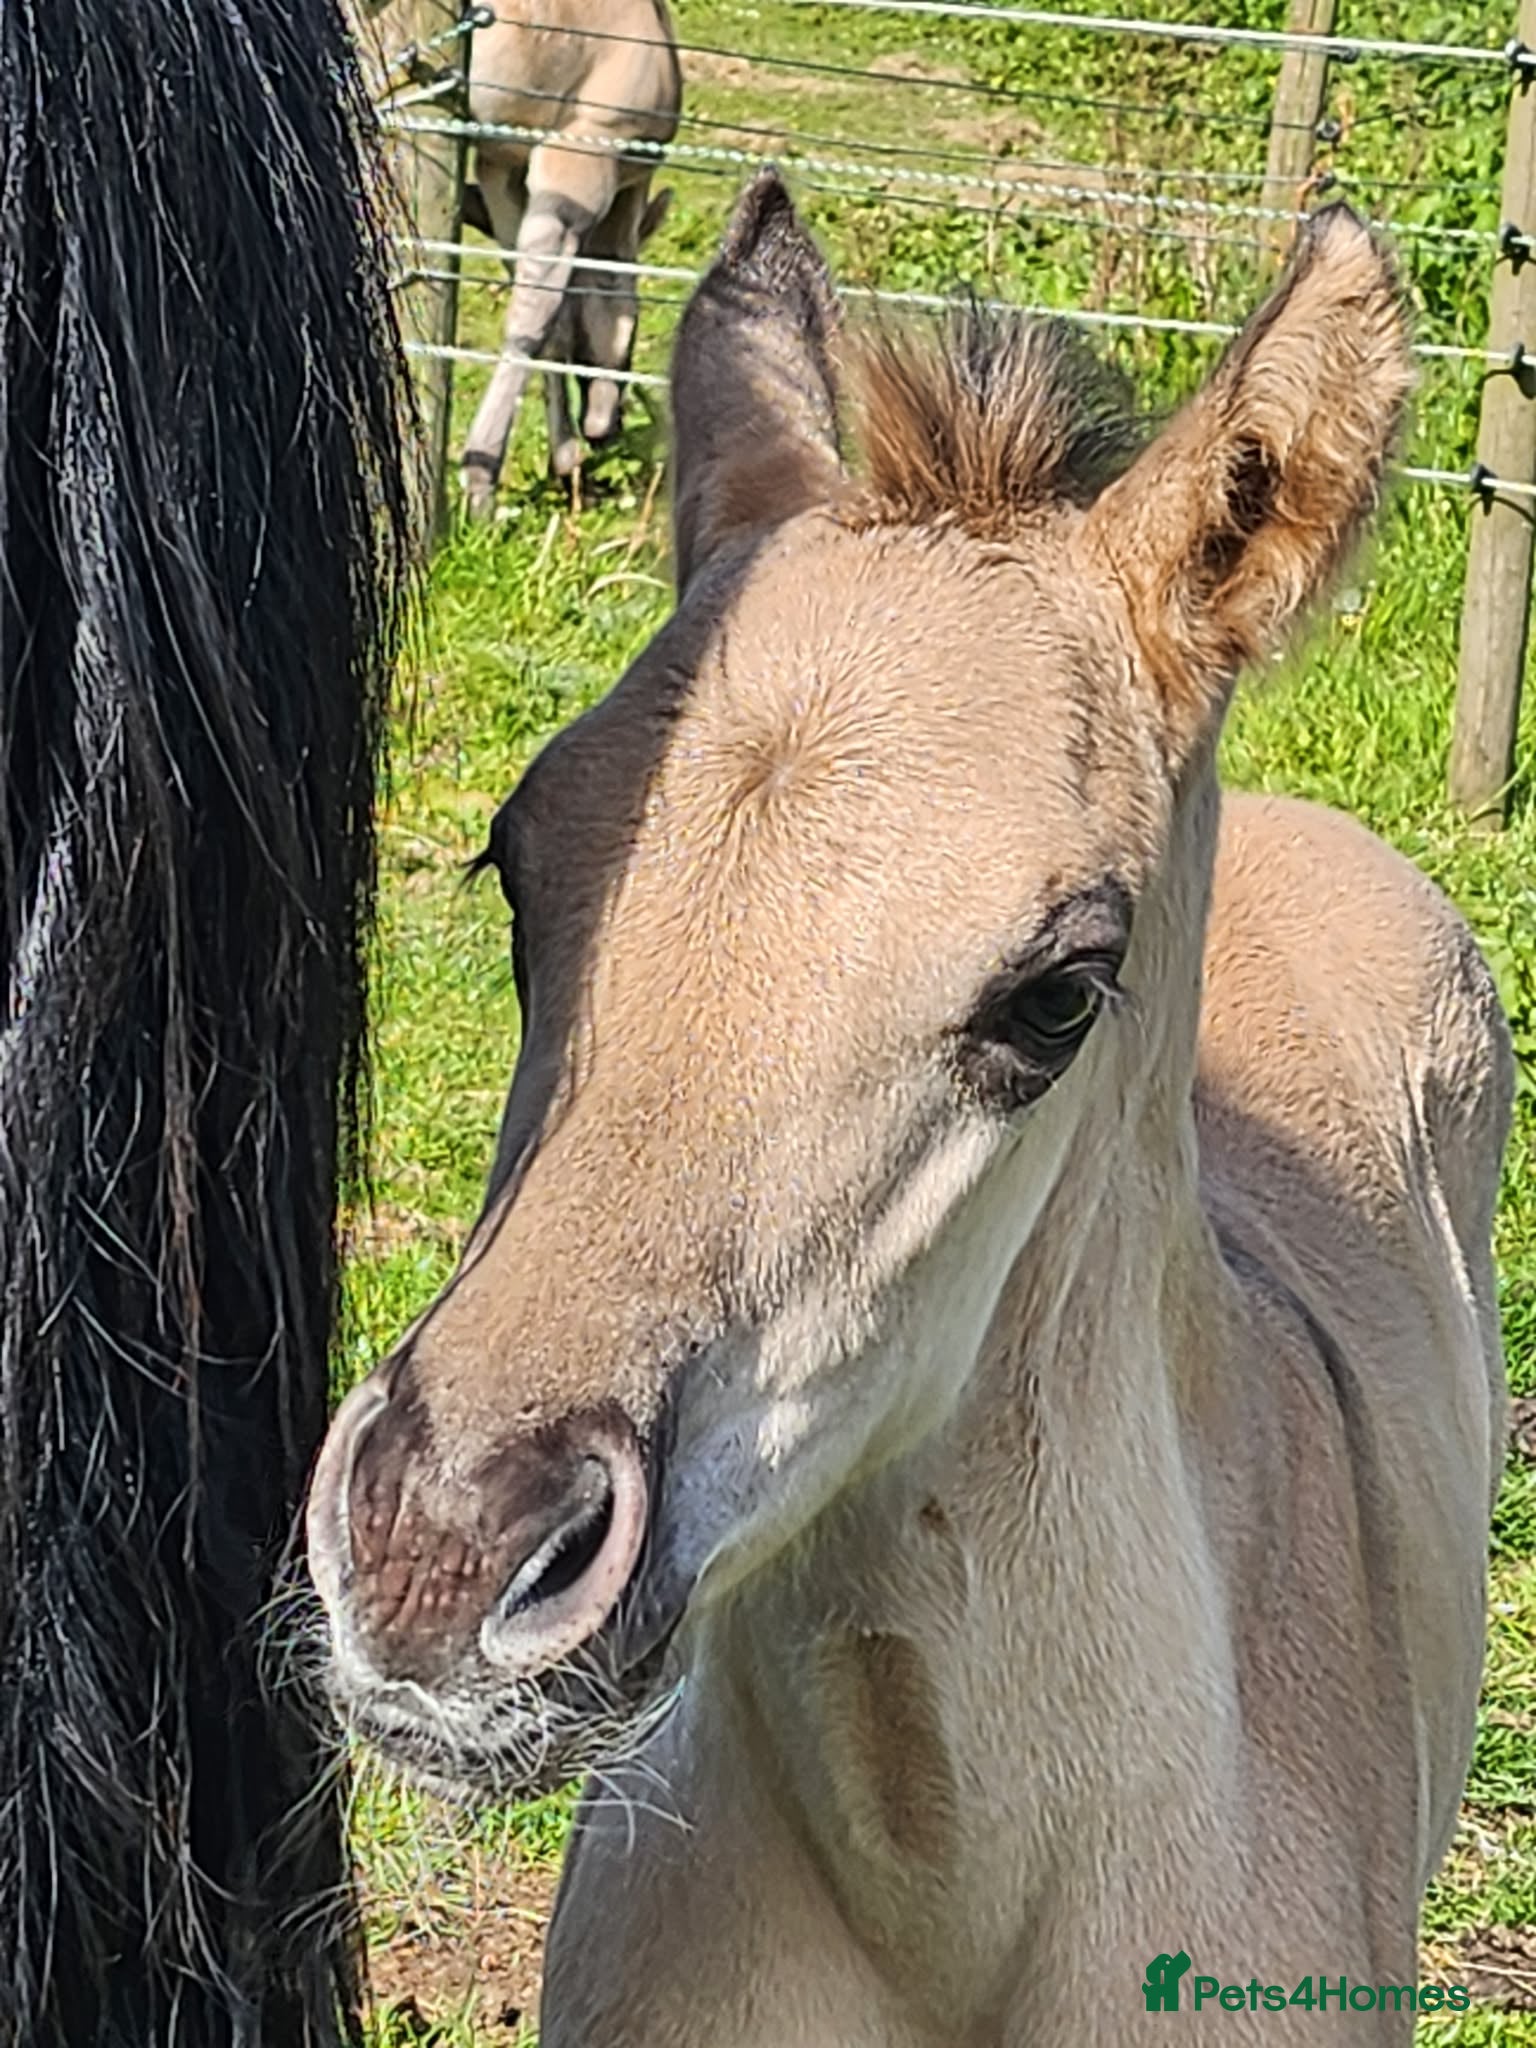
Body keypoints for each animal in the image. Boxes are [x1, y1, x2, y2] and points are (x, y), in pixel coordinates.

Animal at [457, 0, 682, 513]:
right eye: (636, 327)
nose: (607, 427)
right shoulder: (580, 155)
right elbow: (537, 316)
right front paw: (481, 477)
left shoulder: (500, 171)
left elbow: (549, 320)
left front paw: (564, 460)